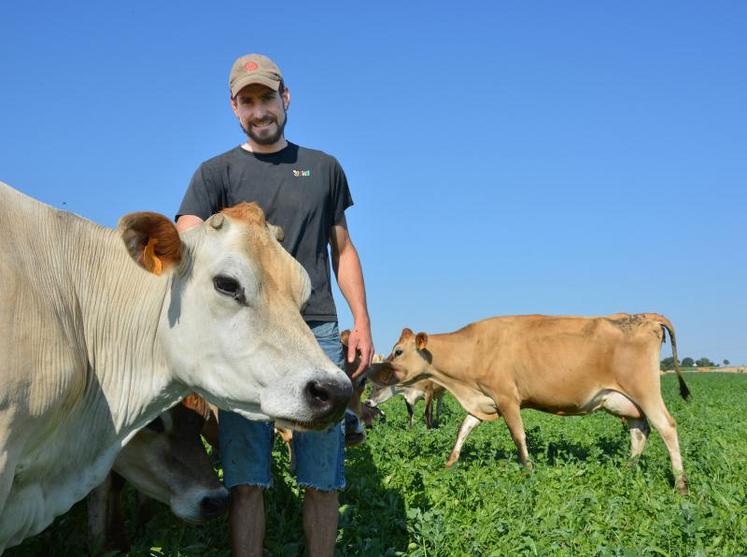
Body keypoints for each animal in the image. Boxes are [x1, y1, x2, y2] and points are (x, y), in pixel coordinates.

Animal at [372, 314, 692, 494]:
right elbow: (463, 430)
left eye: (398, 351)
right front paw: (448, 465)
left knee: (666, 427)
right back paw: (627, 469)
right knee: (640, 431)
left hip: (645, 391)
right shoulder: (485, 400)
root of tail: (644, 316)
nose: (375, 371)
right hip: (622, 401)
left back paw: (680, 484)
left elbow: (518, 436)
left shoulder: (507, 398)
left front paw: (528, 470)